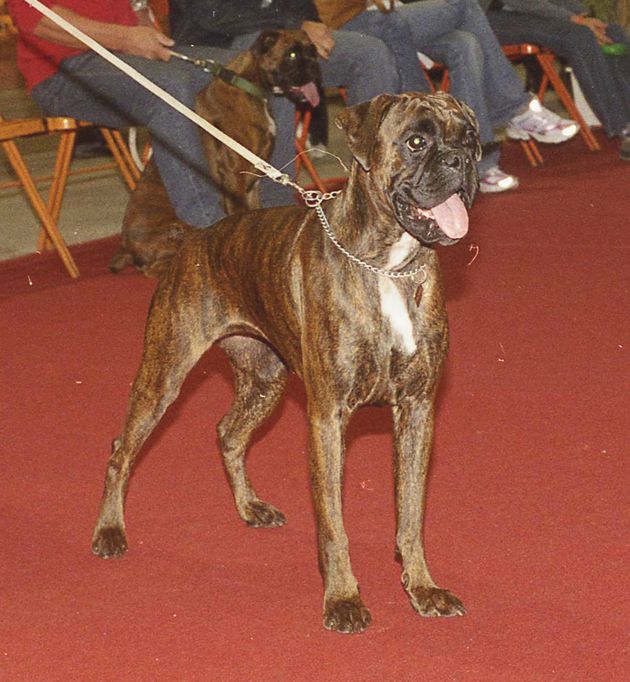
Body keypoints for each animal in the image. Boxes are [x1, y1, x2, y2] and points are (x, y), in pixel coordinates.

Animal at [92, 92, 481, 634]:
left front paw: (421, 588)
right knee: (121, 450)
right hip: (163, 374)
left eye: (470, 138)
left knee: (228, 433)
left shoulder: (417, 411)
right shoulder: (328, 419)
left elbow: (410, 513)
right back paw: (109, 531)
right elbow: (333, 523)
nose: (461, 162)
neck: (387, 266)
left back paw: (251, 507)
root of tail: (194, 239)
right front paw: (343, 600)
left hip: (265, 380)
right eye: (416, 141)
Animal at [109, 29, 321, 278]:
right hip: (177, 230)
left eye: (313, 50)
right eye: (292, 54)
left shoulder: (253, 181)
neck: (248, 85)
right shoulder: (234, 177)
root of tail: (126, 247)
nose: (314, 64)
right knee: (155, 269)